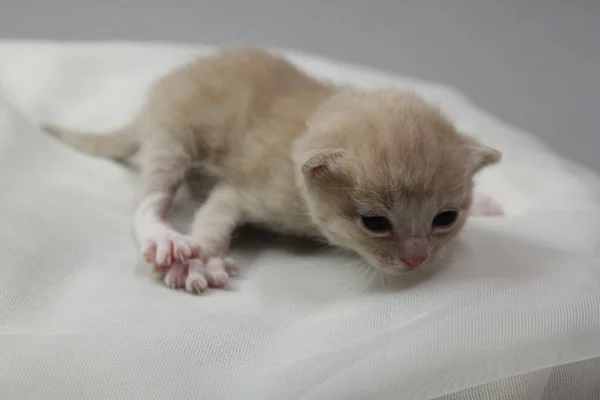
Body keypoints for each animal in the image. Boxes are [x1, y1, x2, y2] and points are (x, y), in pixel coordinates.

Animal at [42, 47, 502, 294]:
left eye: (445, 218)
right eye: (374, 223)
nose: (416, 258)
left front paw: (483, 204)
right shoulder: (248, 187)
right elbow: (214, 216)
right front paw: (201, 259)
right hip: (173, 135)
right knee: (150, 195)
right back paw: (164, 236)